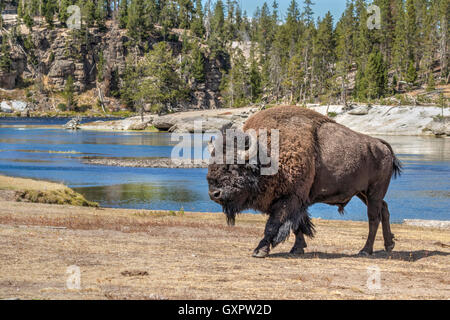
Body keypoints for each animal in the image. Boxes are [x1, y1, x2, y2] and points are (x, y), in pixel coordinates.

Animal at [207, 105, 400, 258]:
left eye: (232, 166)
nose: (214, 193)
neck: (267, 155)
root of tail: (382, 146)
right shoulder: (295, 201)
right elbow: (298, 226)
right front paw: (297, 248)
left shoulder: (289, 199)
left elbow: (273, 225)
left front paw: (260, 250)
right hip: (362, 192)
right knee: (384, 209)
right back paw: (389, 245)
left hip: (374, 192)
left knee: (373, 217)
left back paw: (365, 250)